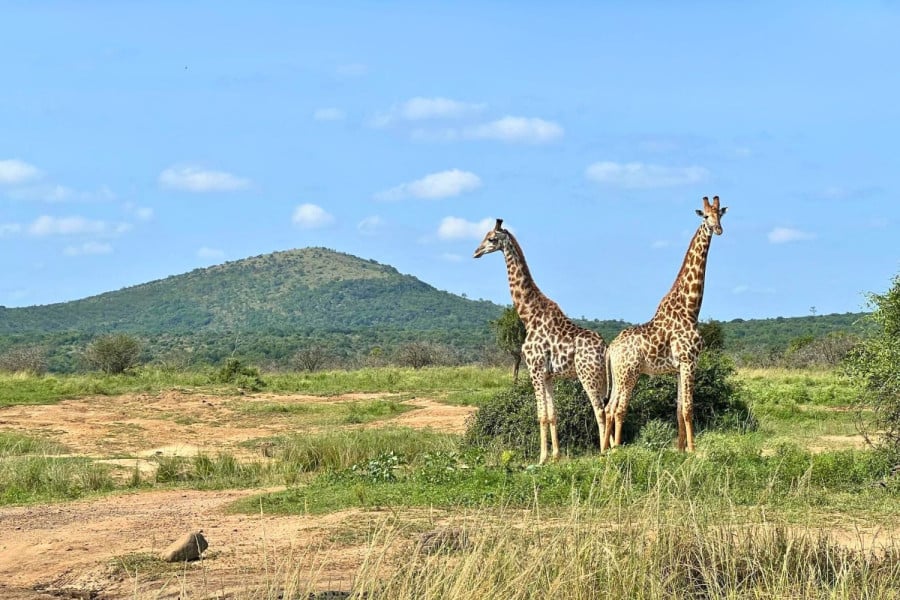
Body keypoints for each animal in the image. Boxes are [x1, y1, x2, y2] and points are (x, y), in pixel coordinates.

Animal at [474, 219, 609, 464]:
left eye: (491, 238)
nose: (476, 252)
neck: (529, 315)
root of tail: (605, 348)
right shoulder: (548, 375)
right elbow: (553, 414)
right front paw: (555, 455)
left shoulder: (534, 369)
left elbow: (541, 415)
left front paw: (542, 458)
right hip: (602, 378)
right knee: (608, 406)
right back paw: (612, 446)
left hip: (587, 375)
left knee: (600, 410)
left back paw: (604, 451)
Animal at [603, 196, 728, 453]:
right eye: (705, 216)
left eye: (719, 214)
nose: (718, 229)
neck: (690, 309)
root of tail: (611, 349)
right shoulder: (689, 361)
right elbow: (688, 408)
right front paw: (693, 449)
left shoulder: (680, 366)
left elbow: (679, 409)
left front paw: (680, 449)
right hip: (628, 373)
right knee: (617, 408)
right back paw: (616, 449)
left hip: (619, 374)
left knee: (608, 408)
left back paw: (605, 449)